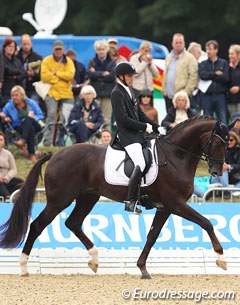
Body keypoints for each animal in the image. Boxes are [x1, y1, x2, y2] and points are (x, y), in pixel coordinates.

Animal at [0, 116, 230, 278]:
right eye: (218, 143)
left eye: (228, 144)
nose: (217, 171)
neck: (176, 157)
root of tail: (55, 154)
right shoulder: (176, 203)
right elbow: (206, 222)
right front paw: (221, 258)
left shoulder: (165, 207)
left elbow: (152, 237)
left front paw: (142, 269)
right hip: (60, 199)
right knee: (37, 225)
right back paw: (23, 267)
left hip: (87, 197)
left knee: (73, 223)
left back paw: (94, 260)